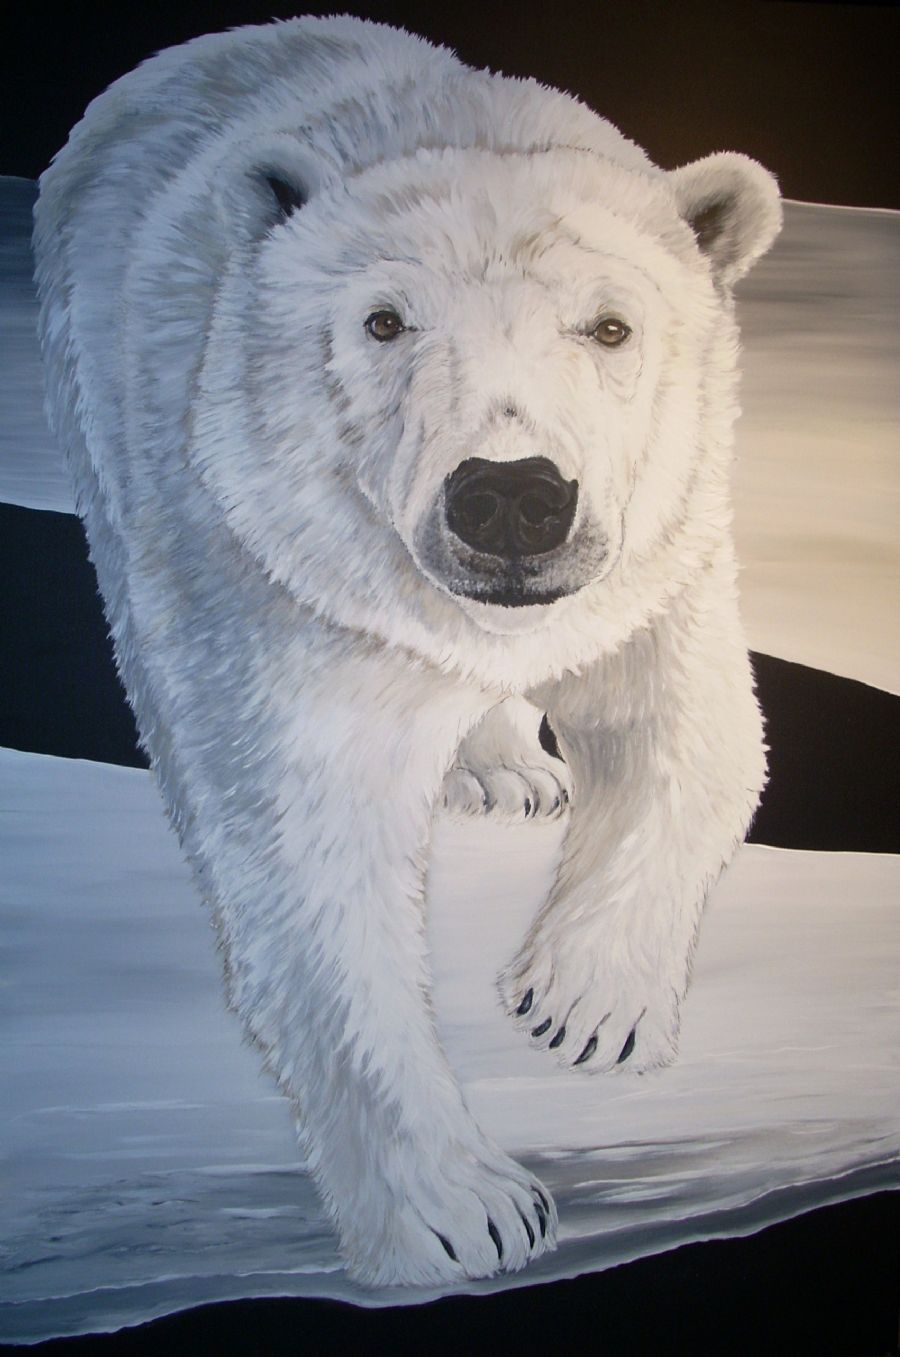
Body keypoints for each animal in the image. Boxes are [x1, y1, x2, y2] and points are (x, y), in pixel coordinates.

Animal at [33, 15, 781, 1286]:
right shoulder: (280, 567)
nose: (512, 496)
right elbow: (314, 859)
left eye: (611, 325)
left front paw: (582, 1003)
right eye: (384, 321)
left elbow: (697, 730)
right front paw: (462, 1211)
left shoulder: (654, 555)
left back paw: (508, 766)